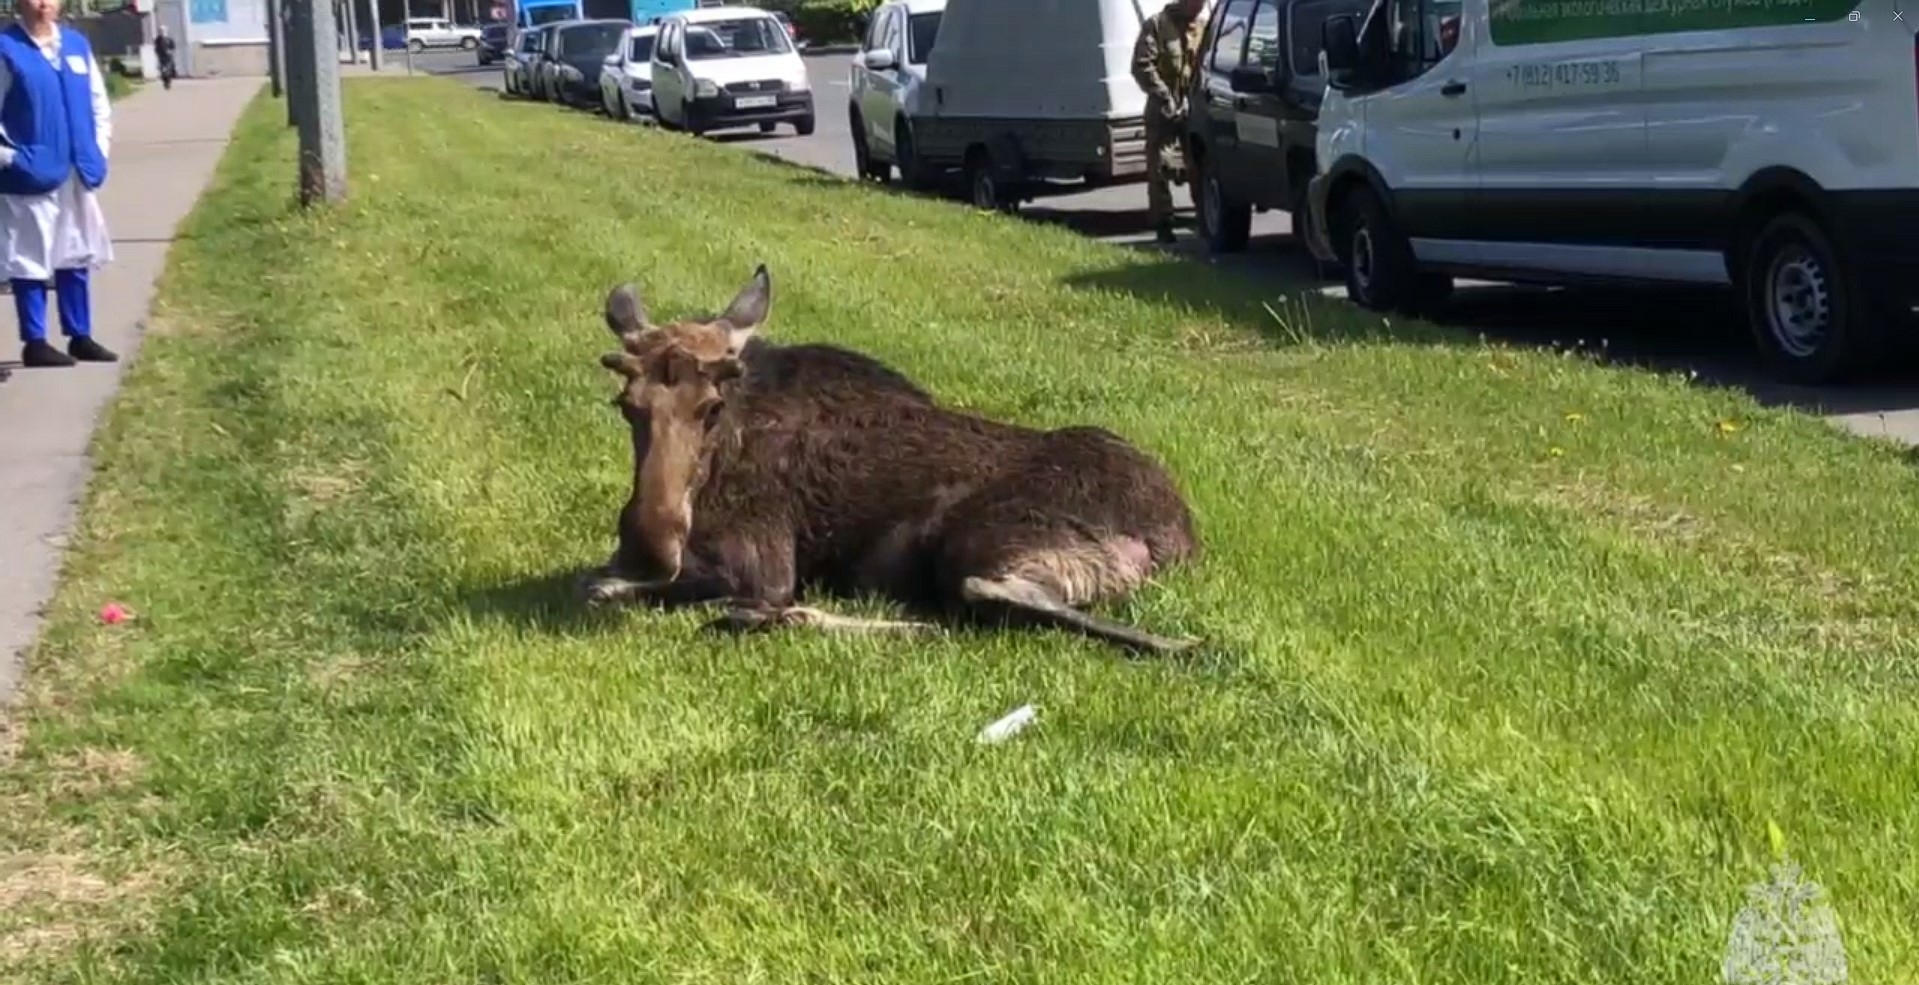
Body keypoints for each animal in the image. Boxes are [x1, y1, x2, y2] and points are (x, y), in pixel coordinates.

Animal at [579, 264, 1197, 656]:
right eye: (625, 405)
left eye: (711, 406)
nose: (648, 545)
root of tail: (1179, 536)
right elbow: (602, 579)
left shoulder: (763, 563)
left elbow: (605, 589)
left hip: (984, 538)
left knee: (981, 600)